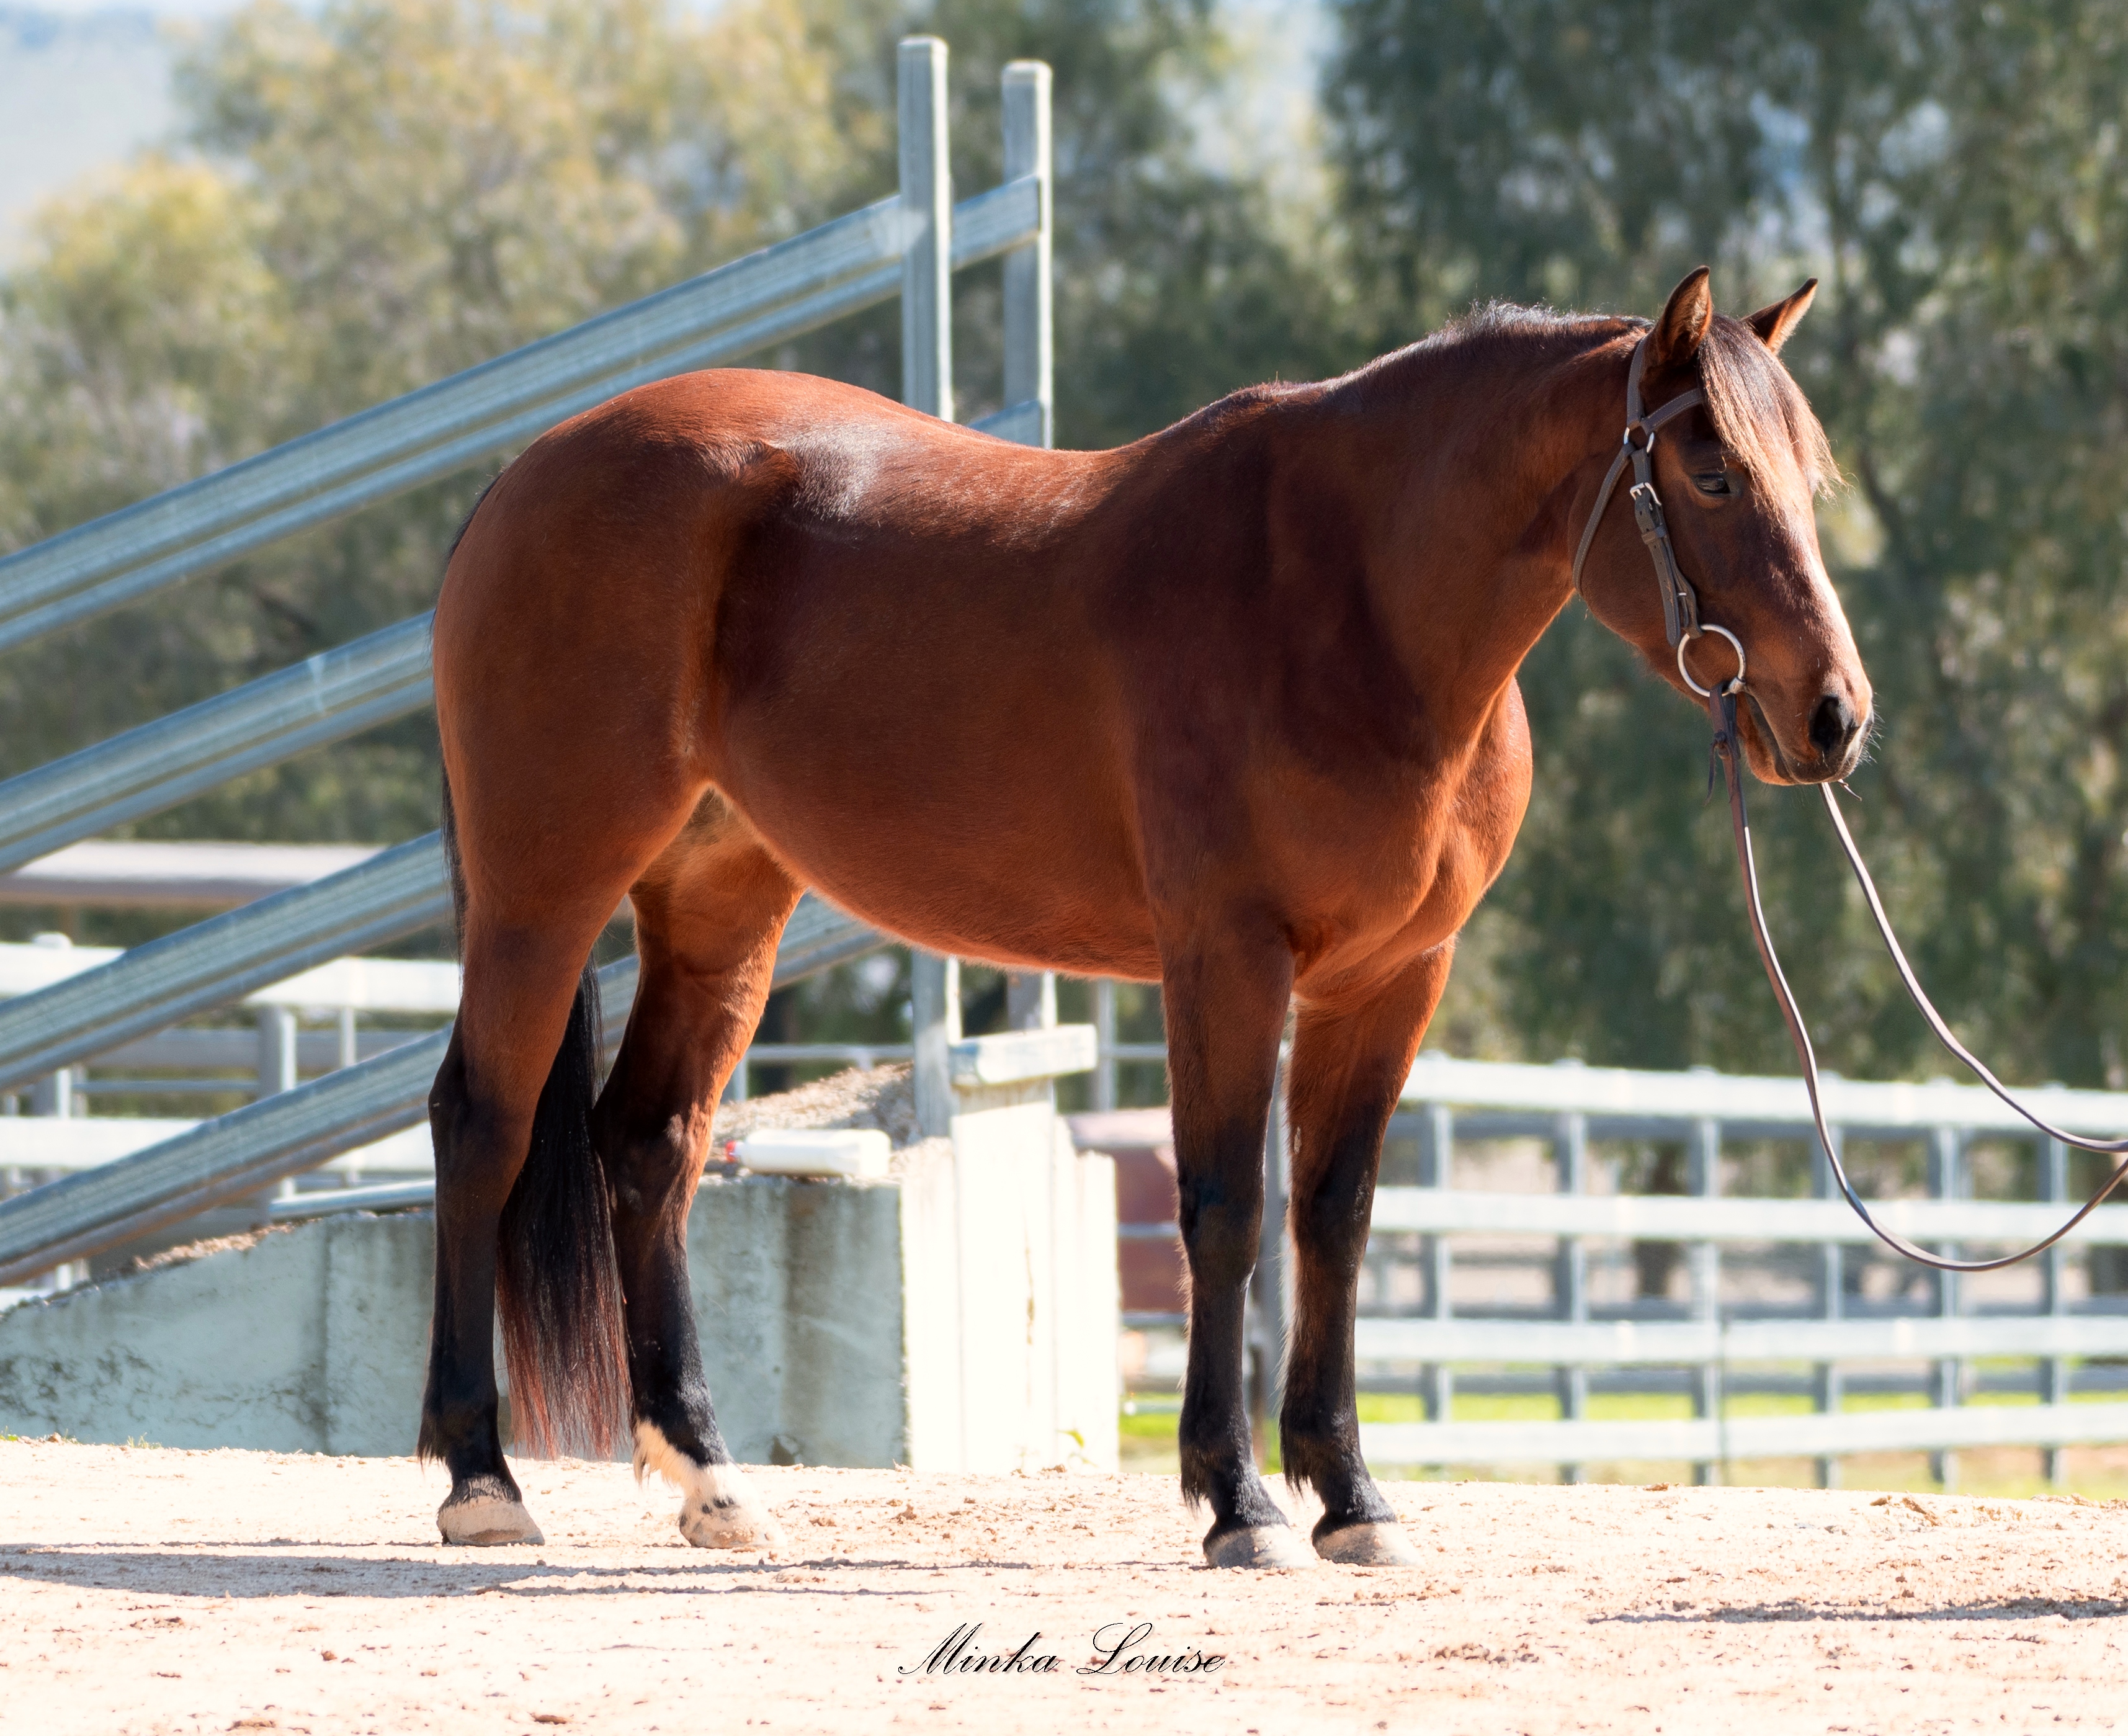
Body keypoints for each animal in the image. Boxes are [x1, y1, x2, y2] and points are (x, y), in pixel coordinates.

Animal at [420, 265, 1869, 1567]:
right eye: (1712, 475)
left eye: (1809, 479)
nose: (1834, 716)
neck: (1345, 602)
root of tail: (523, 474)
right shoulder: (1224, 959)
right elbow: (1226, 1211)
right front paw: (1238, 1500)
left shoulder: (1391, 978)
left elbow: (1333, 1215)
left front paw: (1351, 1496)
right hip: (544, 889)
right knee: (484, 1122)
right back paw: (481, 1481)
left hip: (723, 898)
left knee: (650, 1145)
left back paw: (711, 1482)